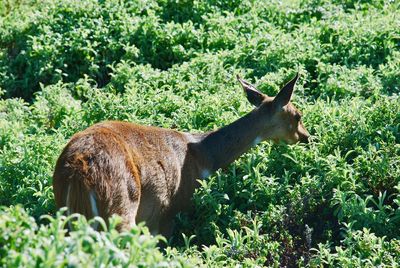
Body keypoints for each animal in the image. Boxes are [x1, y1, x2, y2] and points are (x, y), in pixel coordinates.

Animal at [52, 73, 310, 237]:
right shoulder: (168, 213)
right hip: (121, 208)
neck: (201, 157)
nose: (307, 137)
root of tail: (79, 172)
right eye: (298, 115)